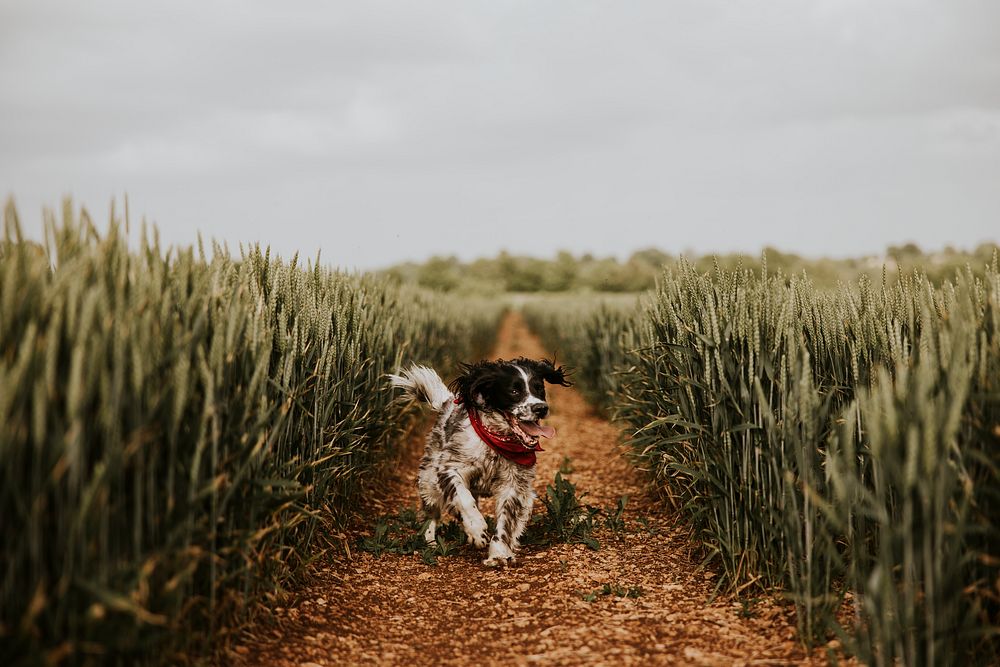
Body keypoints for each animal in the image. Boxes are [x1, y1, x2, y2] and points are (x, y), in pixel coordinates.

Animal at [388, 358, 572, 568]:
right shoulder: (450, 468)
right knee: (431, 513)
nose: (541, 408)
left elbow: (505, 521)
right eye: (514, 391)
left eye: (539, 388)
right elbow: (464, 499)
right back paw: (431, 541)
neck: (496, 441)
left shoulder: (514, 485)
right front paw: (477, 530)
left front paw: (499, 553)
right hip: (429, 481)